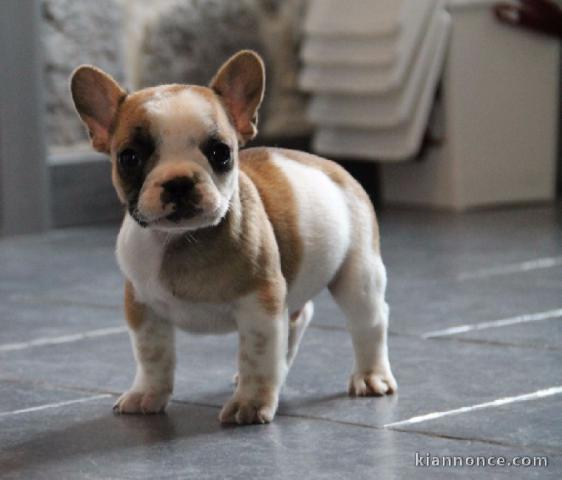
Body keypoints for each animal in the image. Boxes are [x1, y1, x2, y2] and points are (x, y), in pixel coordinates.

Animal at [69, 49, 394, 424]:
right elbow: (152, 357)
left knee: (369, 323)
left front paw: (250, 404)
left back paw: (371, 376)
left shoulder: (260, 307)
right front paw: (147, 393)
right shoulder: (143, 308)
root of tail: (332, 166)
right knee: (297, 318)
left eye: (221, 153)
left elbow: (256, 357)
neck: (182, 240)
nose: (179, 181)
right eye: (129, 157)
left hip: (358, 275)